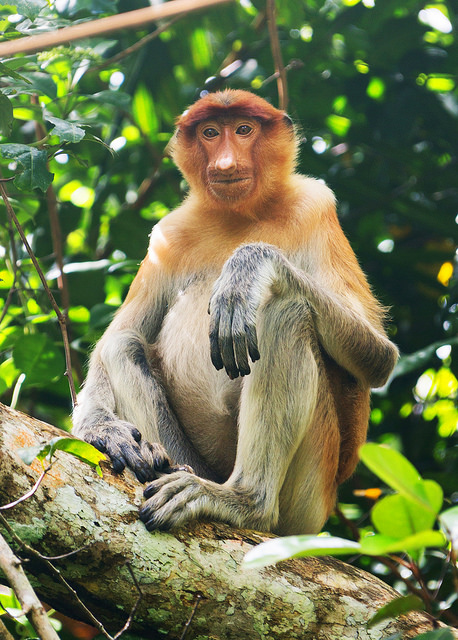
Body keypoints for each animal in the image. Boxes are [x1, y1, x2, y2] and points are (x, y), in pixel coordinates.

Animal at [72, 89, 398, 536]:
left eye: (244, 129)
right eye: (210, 133)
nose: (225, 164)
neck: (239, 216)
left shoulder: (317, 207)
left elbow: (379, 356)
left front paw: (247, 268)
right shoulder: (166, 237)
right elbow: (116, 336)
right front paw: (104, 431)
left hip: (308, 497)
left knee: (285, 312)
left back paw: (244, 501)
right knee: (123, 344)